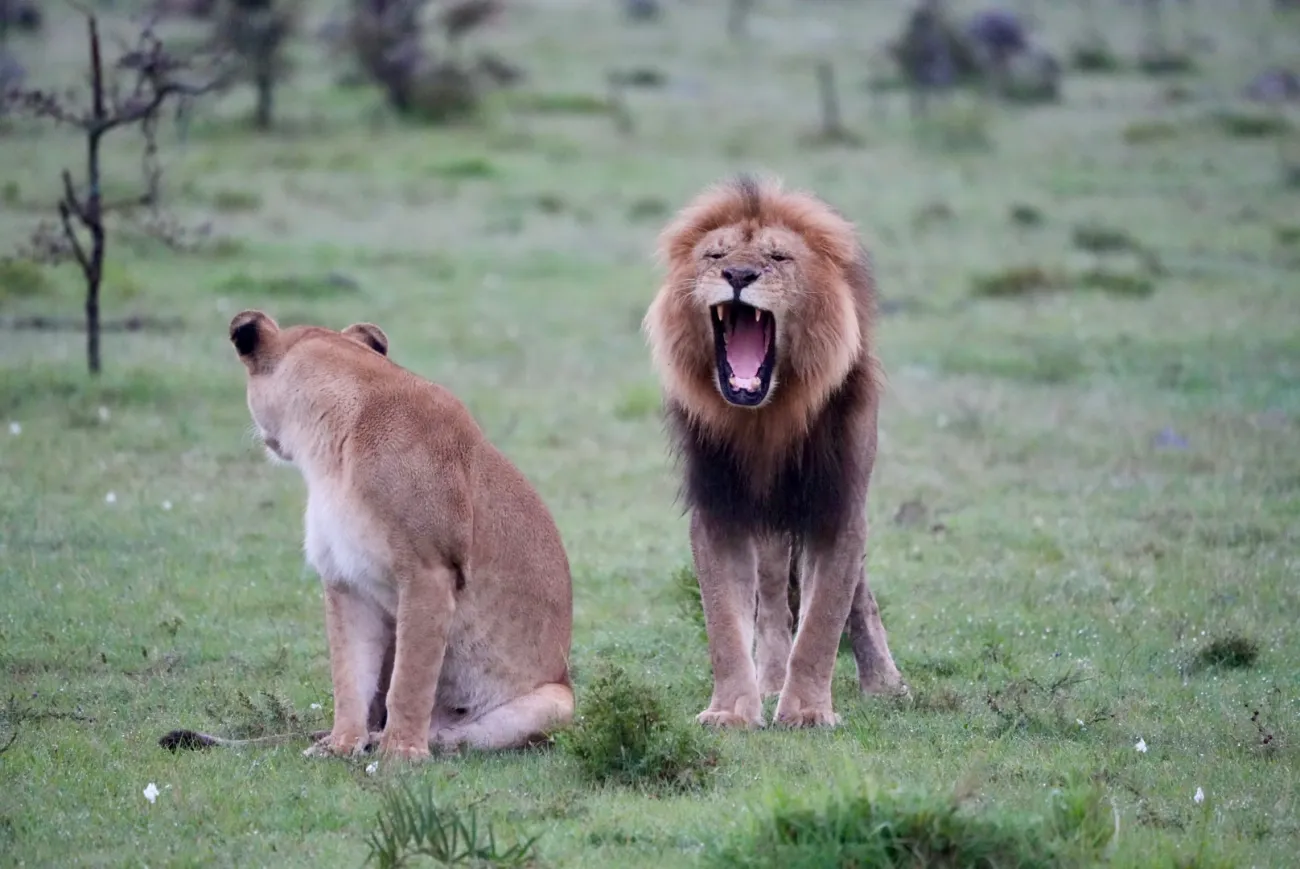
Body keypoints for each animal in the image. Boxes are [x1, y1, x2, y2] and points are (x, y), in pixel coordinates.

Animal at [175, 311, 574, 760]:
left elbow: (410, 680)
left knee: (462, 736)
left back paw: (408, 741)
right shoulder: (344, 580)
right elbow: (349, 676)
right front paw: (341, 746)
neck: (329, 449)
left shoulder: (429, 572)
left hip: (556, 701)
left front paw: (401, 754)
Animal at [642, 175, 907, 730]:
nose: (739, 274)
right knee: (769, 599)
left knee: (857, 594)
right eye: (716, 254)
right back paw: (768, 679)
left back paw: (885, 683)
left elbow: (825, 616)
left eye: (779, 257)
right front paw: (732, 711)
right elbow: (724, 620)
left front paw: (806, 710)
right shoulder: (719, 508)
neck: (767, 419)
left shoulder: (839, 505)